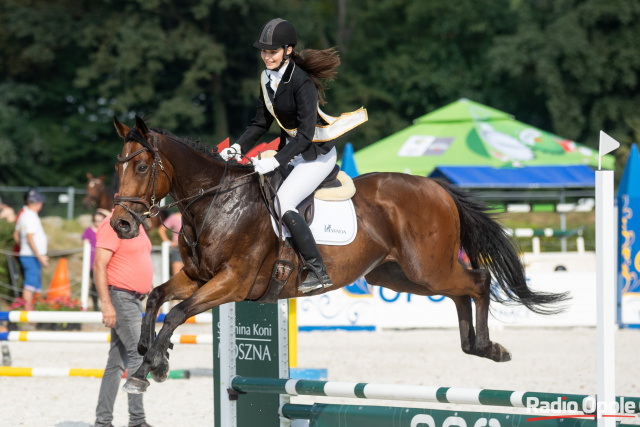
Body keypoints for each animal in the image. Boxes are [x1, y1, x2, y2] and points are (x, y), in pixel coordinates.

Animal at [112, 116, 568, 394]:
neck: (216, 202)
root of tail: (437, 187)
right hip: (400, 275)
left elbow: (177, 311)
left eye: (141, 167)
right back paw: (477, 345)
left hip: (428, 268)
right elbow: (156, 298)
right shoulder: (198, 277)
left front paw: (147, 369)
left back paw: (489, 346)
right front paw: (150, 356)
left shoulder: (232, 282)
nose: (121, 225)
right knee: (461, 292)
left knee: (478, 281)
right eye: (118, 166)